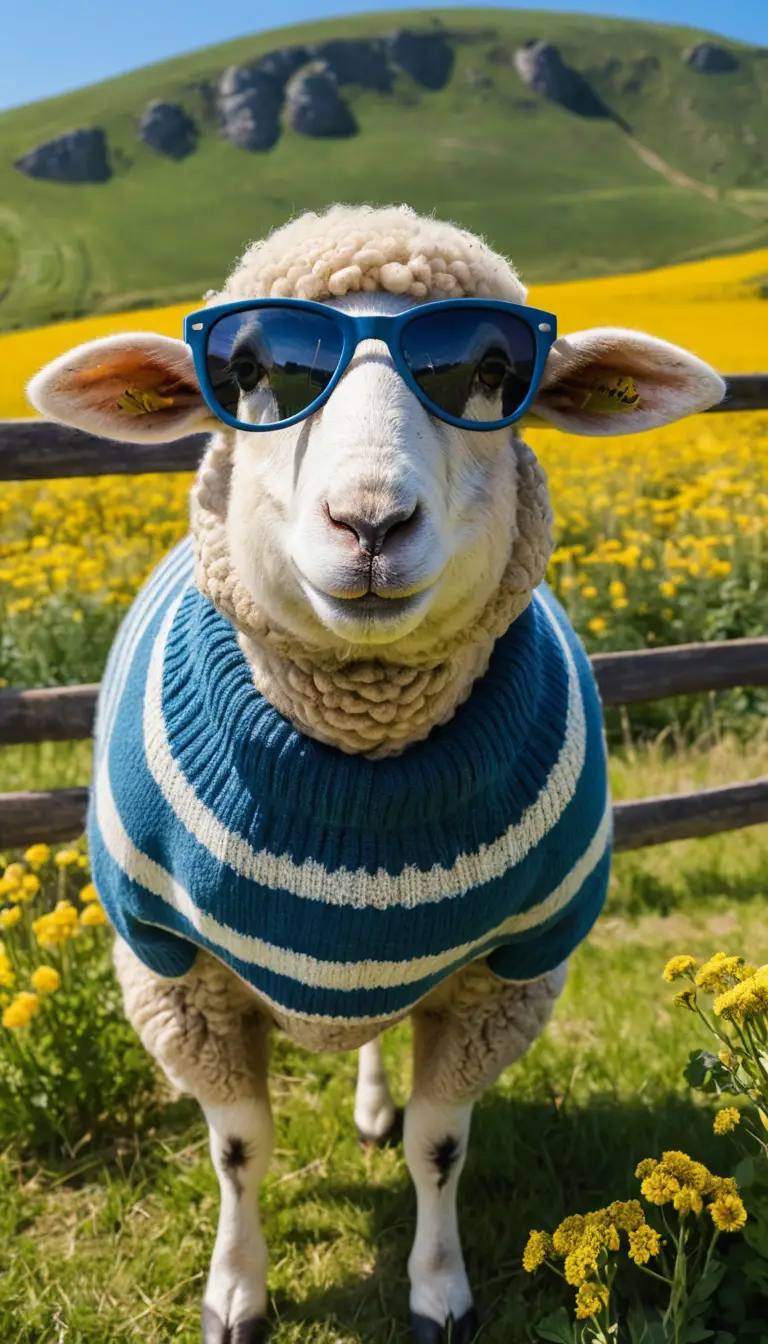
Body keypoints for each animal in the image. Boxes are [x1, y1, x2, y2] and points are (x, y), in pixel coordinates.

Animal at [28, 203, 725, 1342]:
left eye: (491, 368)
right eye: (253, 369)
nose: (369, 525)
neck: (357, 761)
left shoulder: (502, 978)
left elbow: (439, 1146)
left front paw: (439, 1291)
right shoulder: (176, 976)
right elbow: (238, 1150)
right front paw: (236, 1291)